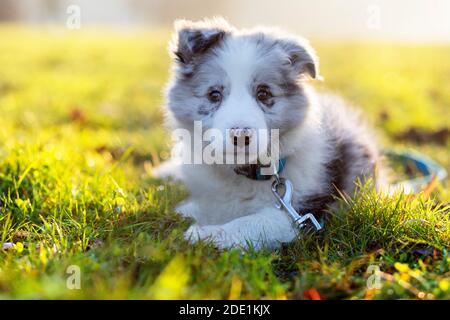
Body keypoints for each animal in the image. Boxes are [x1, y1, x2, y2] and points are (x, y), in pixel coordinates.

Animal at [154, 17, 384, 251]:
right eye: (214, 95)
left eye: (263, 94)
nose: (241, 135)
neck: (245, 174)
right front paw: (185, 214)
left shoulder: (304, 214)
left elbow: (255, 222)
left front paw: (205, 235)